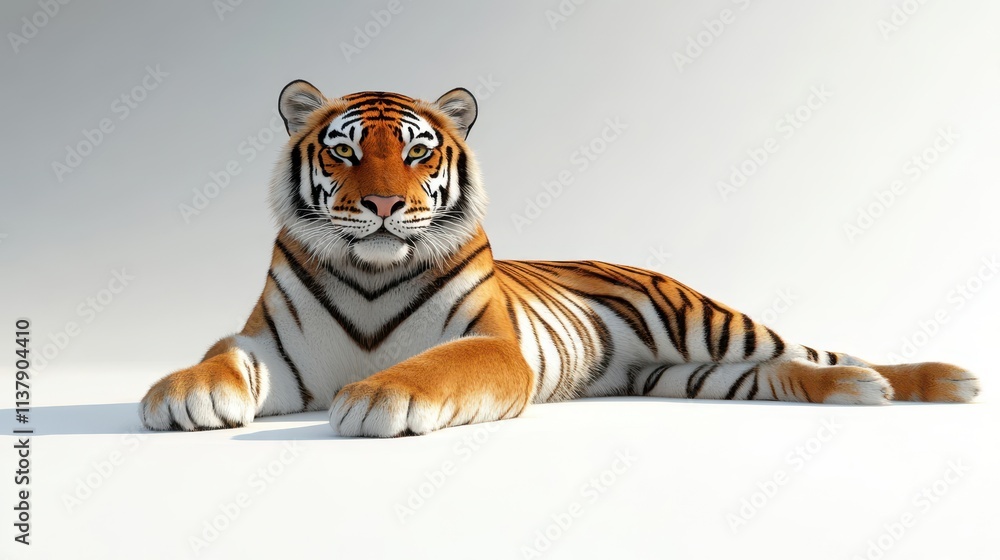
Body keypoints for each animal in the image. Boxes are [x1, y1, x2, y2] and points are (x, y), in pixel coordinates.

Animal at [140, 80, 981, 437]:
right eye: (344, 152)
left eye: (416, 153)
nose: (381, 205)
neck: (370, 270)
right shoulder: (273, 347)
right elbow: (221, 358)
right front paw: (181, 393)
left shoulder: (492, 346)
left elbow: (434, 366)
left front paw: (381, 395)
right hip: (682, 374)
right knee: (777, 375)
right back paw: (861, 392)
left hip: (710, 324)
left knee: (810, 350)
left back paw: (930, 381)